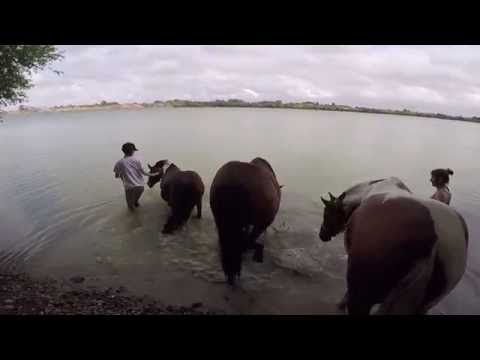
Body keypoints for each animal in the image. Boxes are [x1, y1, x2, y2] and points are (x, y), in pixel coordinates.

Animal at [318, 177, 468, 316]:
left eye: (327, 213)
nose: (322, 235)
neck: (366, 192)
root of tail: (435, 239)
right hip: (423, 304)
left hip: (363, 296)